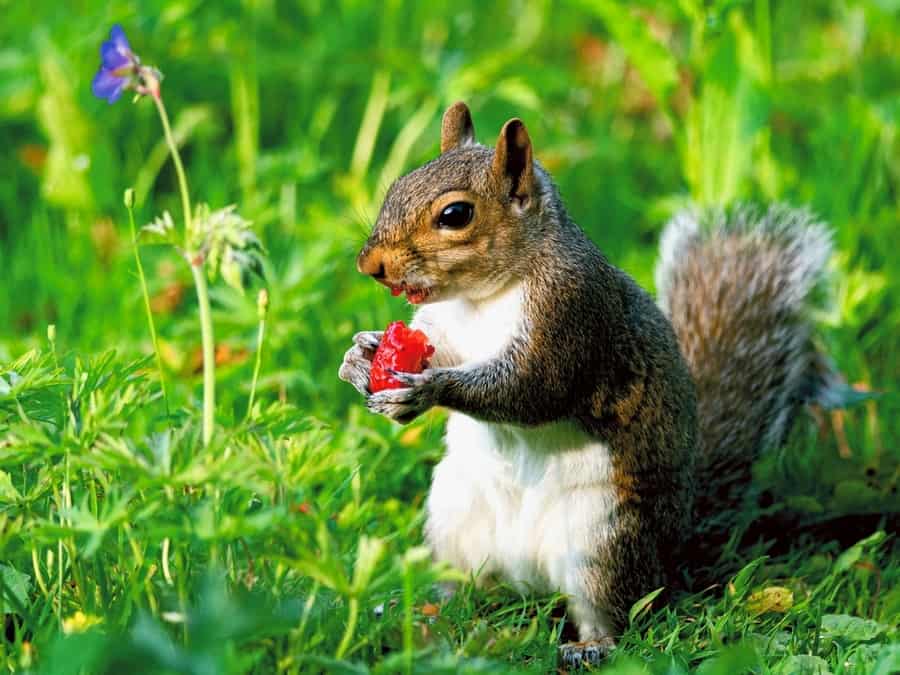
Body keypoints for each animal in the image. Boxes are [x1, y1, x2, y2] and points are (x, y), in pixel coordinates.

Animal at [338, 103, 836, 668]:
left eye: (455, 215)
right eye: (398, 185)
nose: (369, 264)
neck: (486, 296)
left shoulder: (571, 319)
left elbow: (530, 391)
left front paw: (428, 389)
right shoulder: (444, 332)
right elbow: (436, 352)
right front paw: (360, 359)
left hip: (603, 540)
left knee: (619, 614)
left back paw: (591, 646)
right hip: (453, 523)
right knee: (467, 591)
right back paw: (428, 618)